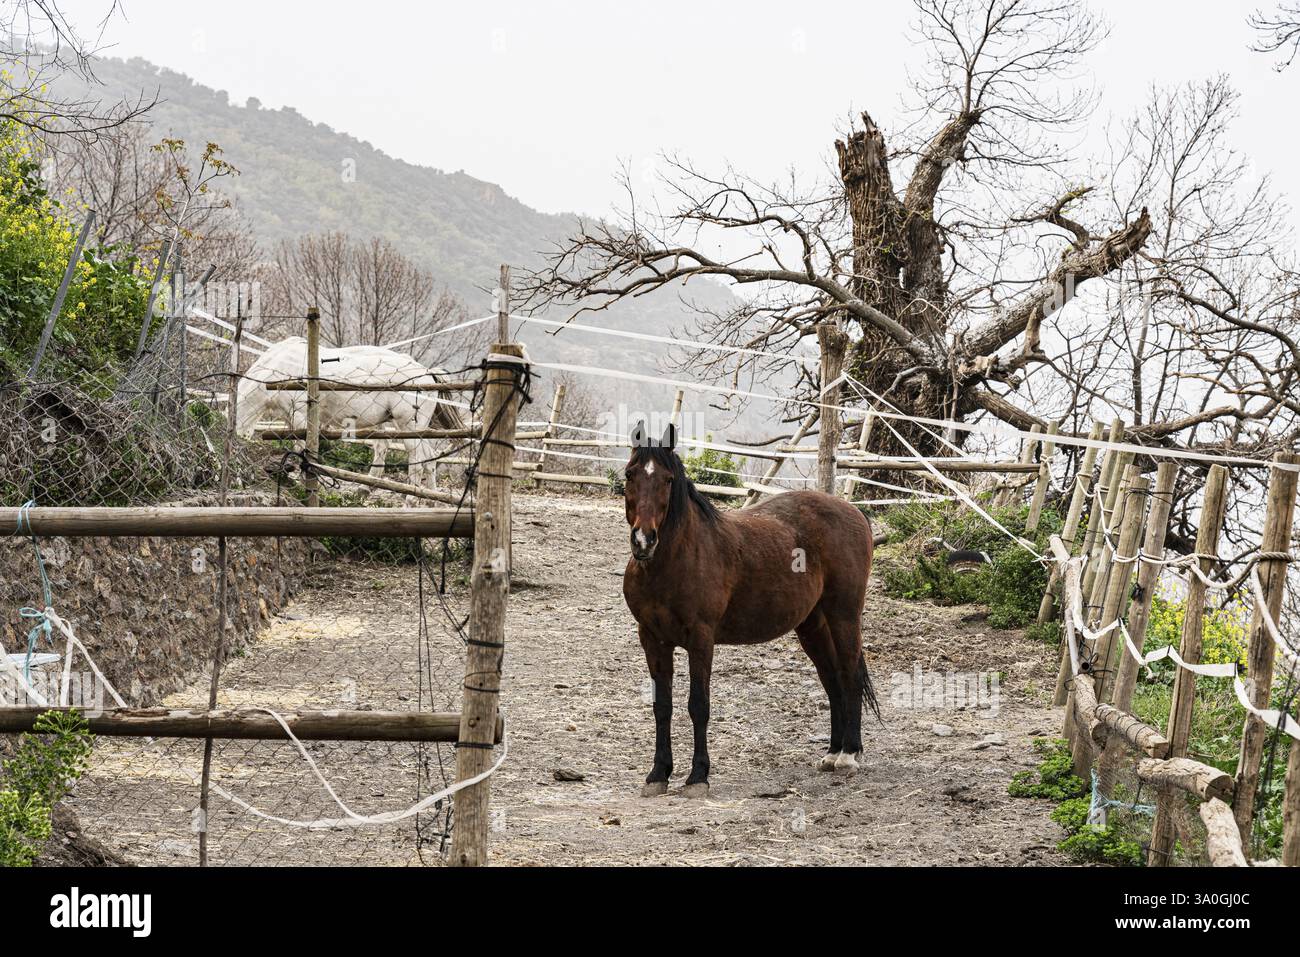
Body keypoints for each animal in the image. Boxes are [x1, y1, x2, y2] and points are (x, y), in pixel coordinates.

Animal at [622, 421, 880, 798]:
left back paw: (849, 755)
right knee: (831, 679)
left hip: (844, 616)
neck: (676, 562)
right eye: (630, 474)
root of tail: (854, 511)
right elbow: (662, 706)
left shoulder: (701, 640)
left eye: (668, 480)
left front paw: (698, 776)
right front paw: (658, 774)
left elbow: (698, 705)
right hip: (813, 626)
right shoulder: (653, 640)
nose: (644, 540)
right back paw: (832, 753)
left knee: (849, 675)